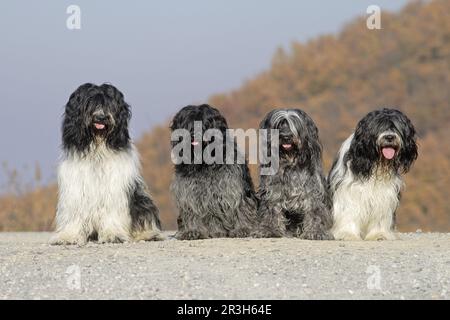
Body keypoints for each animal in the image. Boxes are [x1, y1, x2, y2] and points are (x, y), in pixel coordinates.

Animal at [50, 83, 162, 245]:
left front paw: (112, 235)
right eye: (90, 102)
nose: (101, 117)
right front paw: (68, 236)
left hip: (142, 199)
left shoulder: (114, 187)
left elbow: (111, 211)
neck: (98, 149)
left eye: (110, 105)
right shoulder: (75, 186)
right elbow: (75, 212)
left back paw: (148, 234)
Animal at [170, 105, 260, 240]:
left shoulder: (232, 186)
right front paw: (193, 231)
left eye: (204, 123)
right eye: (187, 123)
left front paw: (242, 229)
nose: (193, 134)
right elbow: (192, 211)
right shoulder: (189, 191)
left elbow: (241, 206)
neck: (203, 163)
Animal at [255, 109, 332, 239]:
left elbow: (314, 210)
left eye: (295, 123)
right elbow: (272, 210)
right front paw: (269, 230)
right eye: (279, 124)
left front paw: (316, 231)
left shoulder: (312, 190)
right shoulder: (273, 190)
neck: (290, 163)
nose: (286, 136)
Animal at [326, 107, 418, 240]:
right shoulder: (349, 191)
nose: (389, 137)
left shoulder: (385, 195)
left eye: (396, 127)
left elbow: (380, 215)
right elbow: (349, 211)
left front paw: (379, 234)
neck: (375, 162)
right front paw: (347, 234)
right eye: (379, 126)